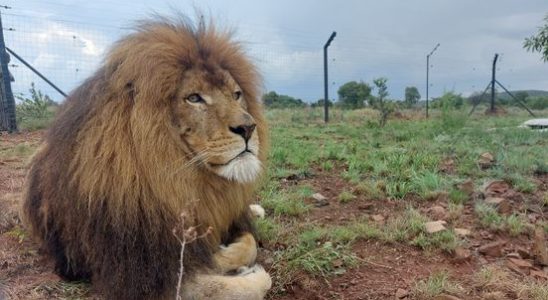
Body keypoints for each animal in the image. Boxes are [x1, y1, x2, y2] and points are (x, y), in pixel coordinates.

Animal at [20, 16, 272, 300]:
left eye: (236, 94)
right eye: (194, 98)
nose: (248, 128)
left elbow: (248, 243)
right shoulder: (143, 273)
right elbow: (235, 286)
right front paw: (240, 268)